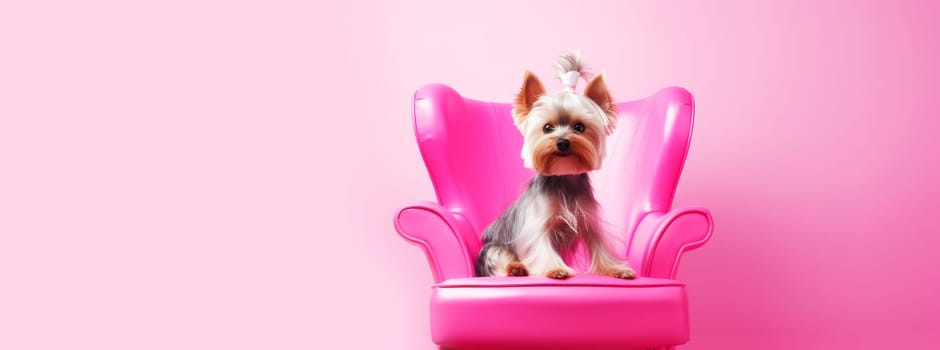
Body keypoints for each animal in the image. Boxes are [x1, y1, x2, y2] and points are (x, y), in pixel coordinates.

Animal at [474, 53, 636, 280]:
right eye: (547, 128)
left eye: (580, 127)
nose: (562, 142)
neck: (564, 176)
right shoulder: (538, 223)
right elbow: (542, 246)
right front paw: (556, 268)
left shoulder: (588, 219)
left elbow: (600, 245)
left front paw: (616, 269)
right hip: (492, 251)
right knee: (499, 263)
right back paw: (516, 268)